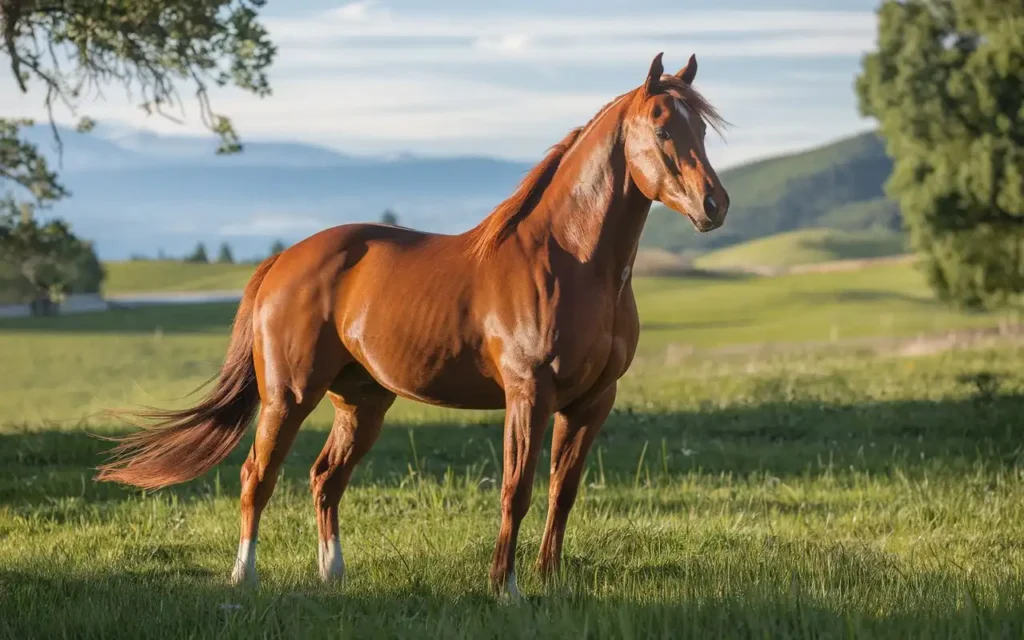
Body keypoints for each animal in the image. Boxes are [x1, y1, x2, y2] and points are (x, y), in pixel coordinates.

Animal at [96, 52, 733, 598]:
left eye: (701, 130)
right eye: (661, 129)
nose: (714, 205)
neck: (570, 261)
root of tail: (282, 261)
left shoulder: (592, 401)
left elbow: (563, 492)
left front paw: (550, 582)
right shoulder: (529, 394)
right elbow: (517, 491)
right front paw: (505, 588)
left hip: (362, 401)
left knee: (325, 479)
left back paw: (333, 576)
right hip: (287, 395)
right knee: (258, 476)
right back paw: (243, 577)